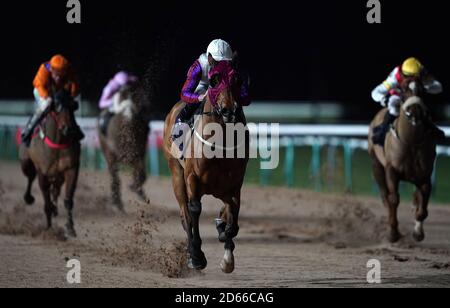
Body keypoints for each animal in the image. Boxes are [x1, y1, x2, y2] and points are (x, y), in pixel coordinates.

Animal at [19, 89, 81, 238]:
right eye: (56, 107)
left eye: (72, 106)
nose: (67, 128)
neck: (57, 143)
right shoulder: (43, 172)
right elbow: (46, 202)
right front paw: (48, 229)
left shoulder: (71, 168)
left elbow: (68, 200)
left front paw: (70, 228)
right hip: (25, 163)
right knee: (30, 177)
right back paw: (29, 198)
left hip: (58, 176)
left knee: (56, 190)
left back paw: (55, 208)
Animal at [98, 83, 150, 211]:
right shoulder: (118, 154)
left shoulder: (138, 153)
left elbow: (142, 173)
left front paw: (136, 189)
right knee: (114, 175)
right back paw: (117, 203)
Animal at [164, 60, 250, 274]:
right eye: (214, 80)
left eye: (237, 79)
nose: (229, 110)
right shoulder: (192, 179)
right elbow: (194, 210)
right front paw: (196, 255)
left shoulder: (233, 186)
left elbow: (232, 219)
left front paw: (227, 257)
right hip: (176, 175)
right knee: (185, 214)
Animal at [370, 79, 440, 243]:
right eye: (402, 90)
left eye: (422, 90)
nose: (415, 112)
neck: (411, 142)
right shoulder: (391, 171)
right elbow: (393, 200)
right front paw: (393, 233)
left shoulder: (424, 176)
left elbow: (422, 208)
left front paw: (418, 233)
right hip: (376, 164)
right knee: (385, 196)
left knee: (415, 198)